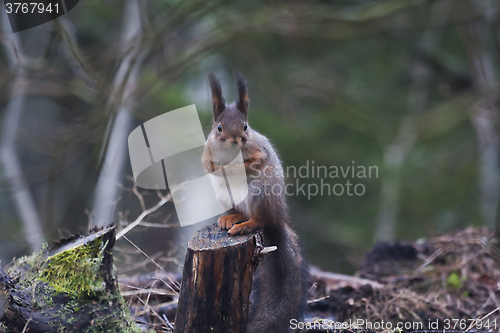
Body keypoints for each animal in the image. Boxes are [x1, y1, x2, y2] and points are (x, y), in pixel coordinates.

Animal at [201, 72, 306, 332]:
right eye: (219, 128)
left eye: (245, 126)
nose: (235, 140)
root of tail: (279, 216)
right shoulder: (207, 151)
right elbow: (208, 165)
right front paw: (220, 168)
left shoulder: (259, 151)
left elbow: (256, 160)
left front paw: (235, 167)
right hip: (225, 195)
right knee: (243, 212)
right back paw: (231, 218)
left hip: (261, 192)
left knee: (260, 219)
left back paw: (245, 225)